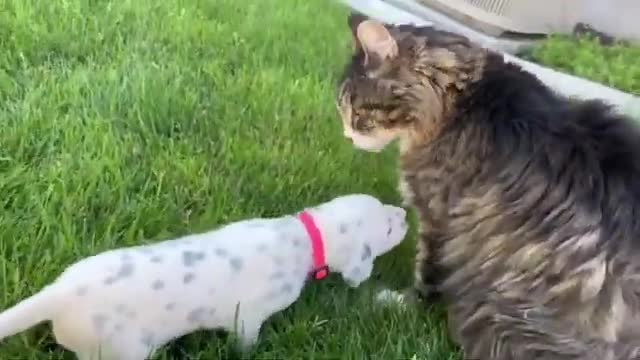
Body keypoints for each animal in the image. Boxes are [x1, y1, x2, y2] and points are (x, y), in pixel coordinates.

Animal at [0, 195, 410, 358]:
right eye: (389, 228)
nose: (405, 214)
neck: (305, 237)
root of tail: (59, 291)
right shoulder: (249, 315)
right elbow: (246, 340)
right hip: (121, 349)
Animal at [336, 11, 640, 360]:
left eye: (357, 113)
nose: (347, 136)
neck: (463, 101)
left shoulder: (438, 219)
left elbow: (427, 273)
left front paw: (401, 303)